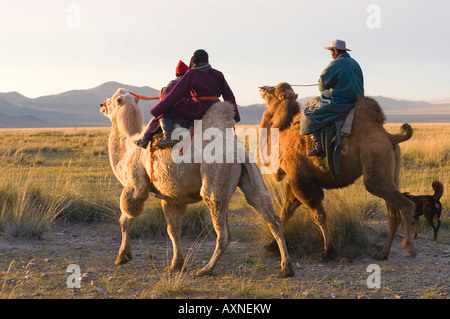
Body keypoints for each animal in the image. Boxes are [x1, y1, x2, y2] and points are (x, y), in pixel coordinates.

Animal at [100, 89, 294, 278]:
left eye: (114, 100)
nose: (102, 104)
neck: (128, 148)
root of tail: (239, 153)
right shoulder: (172, 197)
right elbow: (173, 230)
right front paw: (176, 265)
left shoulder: (135, 185)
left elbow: (125, 219)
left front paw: (122, 256)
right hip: (252, 178)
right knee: (272, 218)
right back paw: (286, 268)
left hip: (215, 177)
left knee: (222, 231)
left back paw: (206, 269)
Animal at [258, 83, 416, 262]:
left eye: (274, 91)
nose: (262, 88)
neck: (282, 138)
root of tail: (389, 136)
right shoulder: (297, 180)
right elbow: (286, 211)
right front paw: (271, 245)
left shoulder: (301, 179)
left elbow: (319, 215)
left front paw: (329, 251)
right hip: (389, 175)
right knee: (393, 214)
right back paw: (382, 253)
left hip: (375, 161)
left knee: (404, 204)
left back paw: (408, 247)